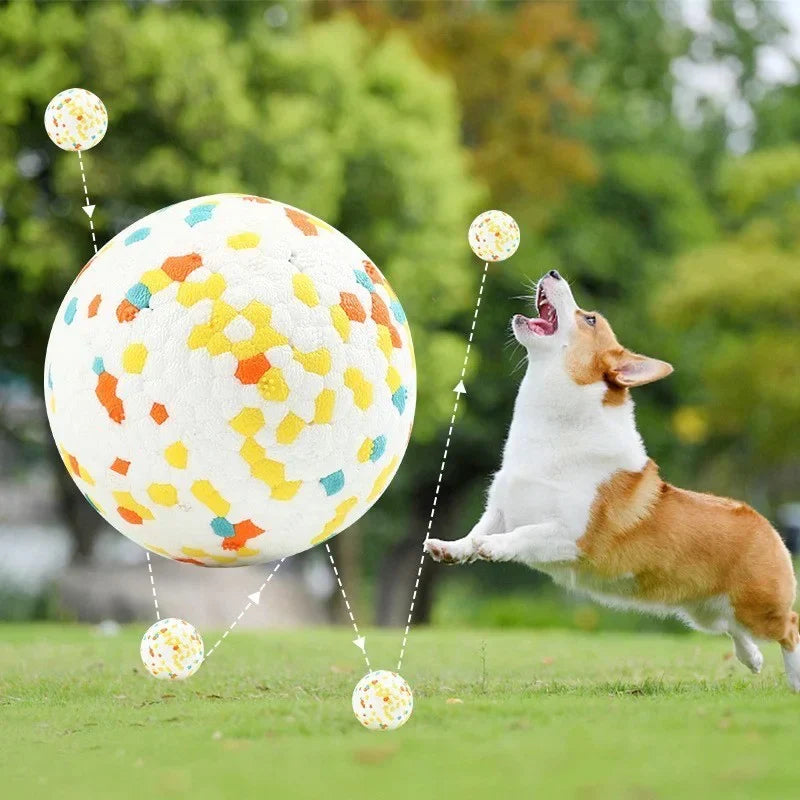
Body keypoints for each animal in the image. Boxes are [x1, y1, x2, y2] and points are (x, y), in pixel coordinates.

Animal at [424, 272, 800, 692]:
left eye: (590, 319)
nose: (554, 273)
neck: (552, 435)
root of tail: (767, 525)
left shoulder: (571, 535)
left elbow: (520, 535)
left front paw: (495, 547)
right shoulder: (502, 509)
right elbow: (475, 532)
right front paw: (450, 548)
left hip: (759, 607)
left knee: (789, 628)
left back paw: (794, 677)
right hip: (706, 611)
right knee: (735, 630)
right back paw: (752, 659)